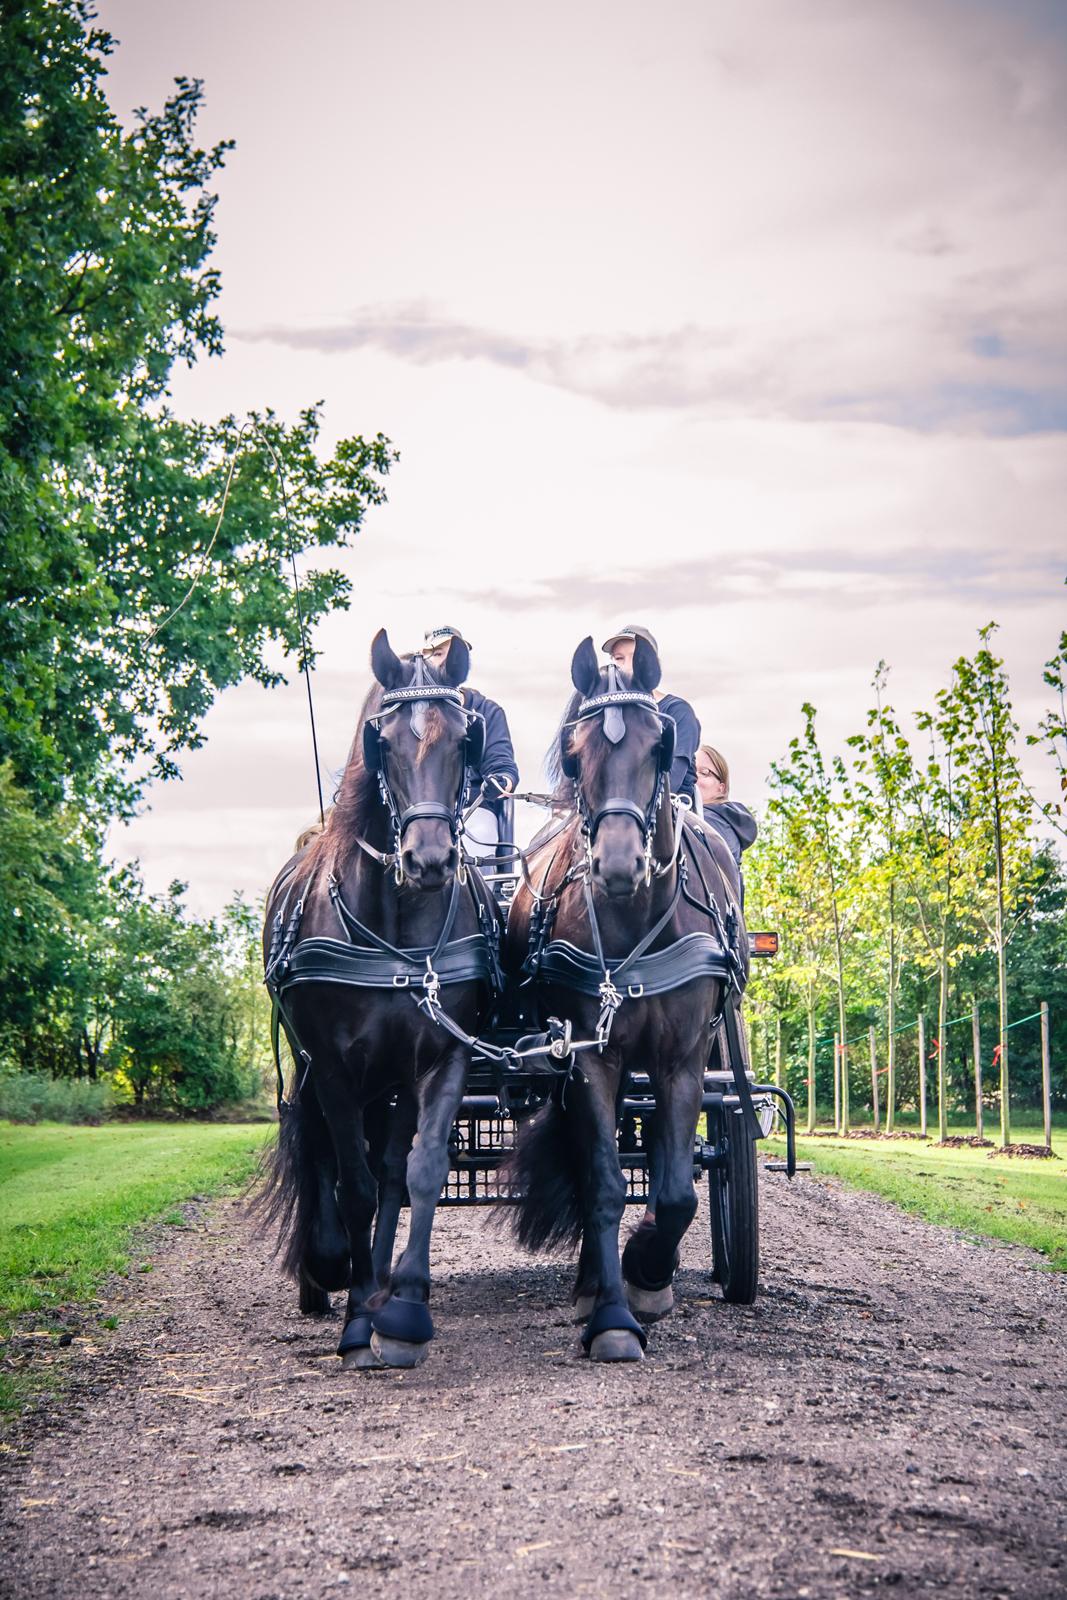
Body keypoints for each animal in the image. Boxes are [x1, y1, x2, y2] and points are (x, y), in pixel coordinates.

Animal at [265, 630, 502, 1369]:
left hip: (391, 1082)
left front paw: (404, 1306)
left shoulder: (440, 1057)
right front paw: (353, 1322)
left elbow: (417, 1173)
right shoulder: (335, 1068)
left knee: (391, 1170)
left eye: (461, 737)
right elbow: (355, 1185)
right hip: (312, 1067)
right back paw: (331, 1272)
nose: (429, 859)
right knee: (318, 1146)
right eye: (385, 740)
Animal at [505, 636, 748, 1363]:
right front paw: (612, 1315)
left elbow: (674, 1192)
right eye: (575, 751)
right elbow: (607, 1184)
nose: (617, 865)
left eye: (659, 743)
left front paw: (648, 1274)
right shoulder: (589, 1057)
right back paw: (592, 1284)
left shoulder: (682, 1060)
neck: (636, 918)